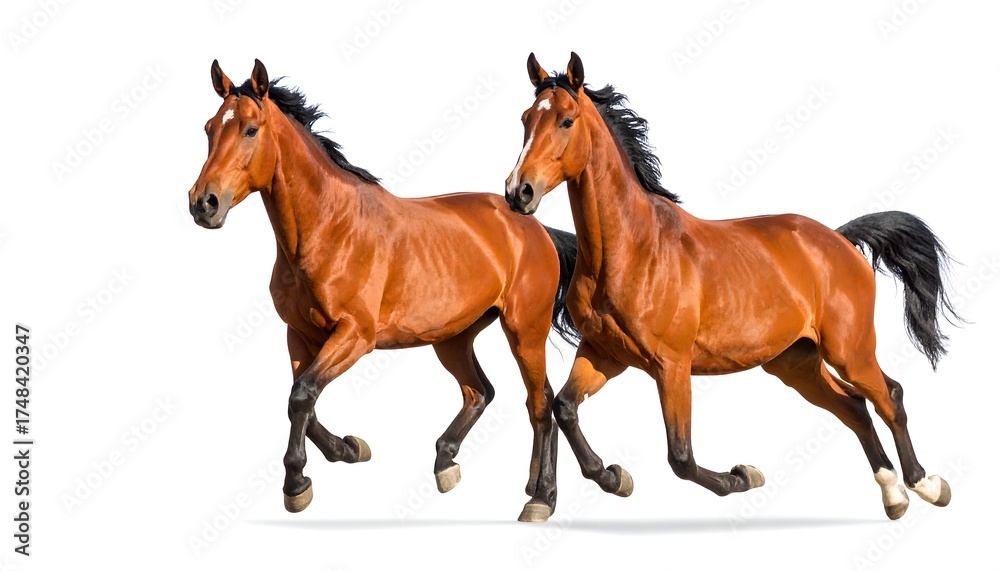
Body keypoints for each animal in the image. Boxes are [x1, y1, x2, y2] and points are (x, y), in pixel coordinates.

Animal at [187, 59, 581, 522]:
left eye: (250, 129)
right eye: (210, 128)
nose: (203, 203)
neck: (328, 228)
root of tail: (535, 226)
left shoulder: (356, 335)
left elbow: (301, 395)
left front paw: (297, 484)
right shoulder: (299, 334)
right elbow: (302, 398)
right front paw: (348, 448)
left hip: (524, 331)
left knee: (540, 404)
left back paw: (540, 497)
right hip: (452, 338)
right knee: (480, 392)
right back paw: (450, 465)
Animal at [503, 52, 959, 520]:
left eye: (566, 120)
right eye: (525, 118)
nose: (519, 191)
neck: (632, 250)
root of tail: (840, 239)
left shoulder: (671, 365)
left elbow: (681, 458)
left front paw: (744, 475)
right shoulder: (604, 353)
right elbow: (564, 408)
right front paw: (612, 477)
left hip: (849, 350)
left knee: (890, 396)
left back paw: (927, 485)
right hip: (796, 362)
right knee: (855, 407)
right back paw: (893, 495)